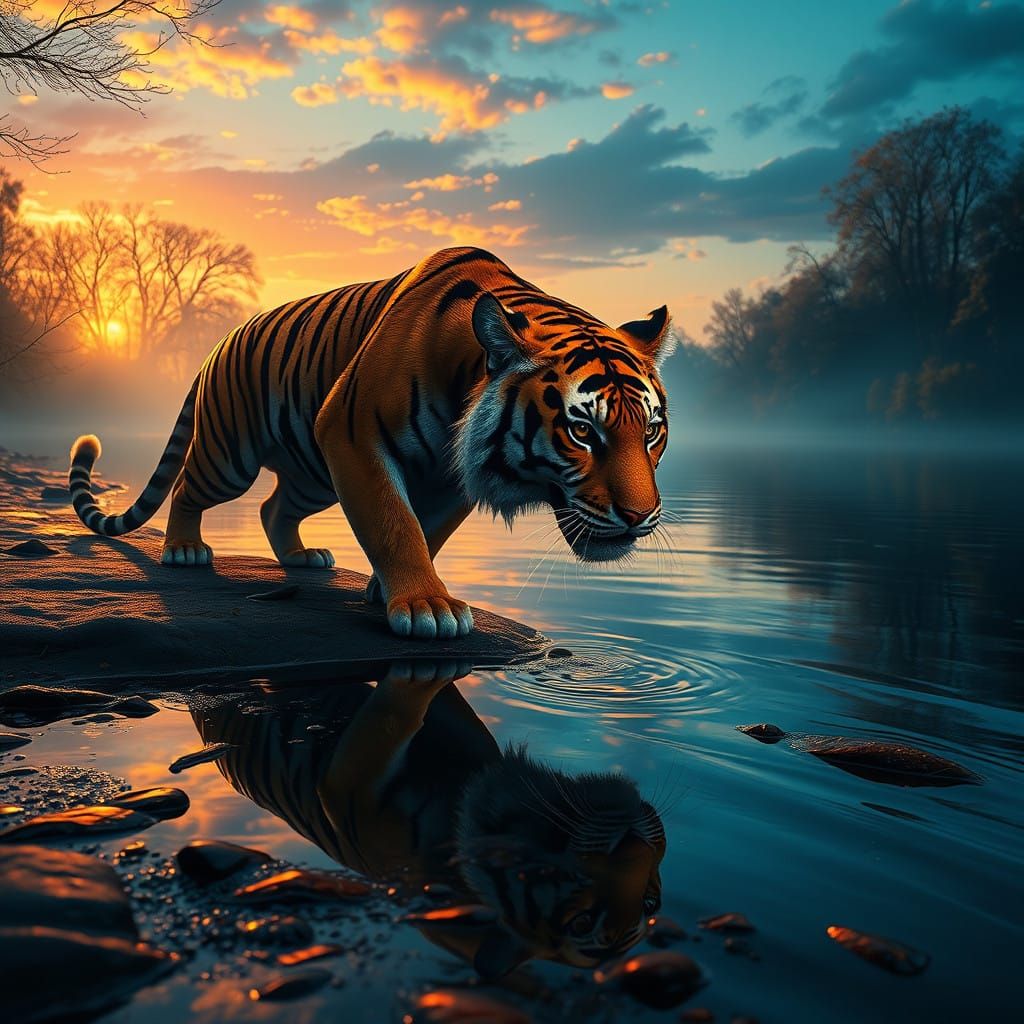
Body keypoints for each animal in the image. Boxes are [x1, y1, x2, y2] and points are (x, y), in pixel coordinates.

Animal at [68, 246, 673, 639]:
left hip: (313, 476)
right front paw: (428, 606)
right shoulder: (352, 437)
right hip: (230, 457)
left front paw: (391, 593)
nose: (640, 517)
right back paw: (184, 548)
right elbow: (394, 521)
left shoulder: (451, 477)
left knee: (272, 507)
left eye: (650, 432)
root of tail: (220, 341)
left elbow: (428, 530)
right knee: (189, 487)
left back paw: (301, 556)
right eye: (582, 431)